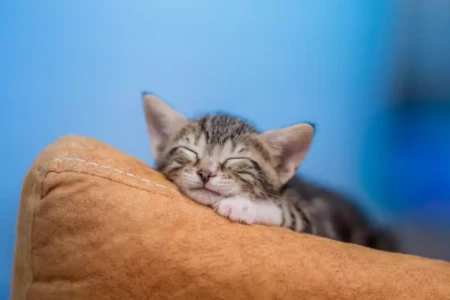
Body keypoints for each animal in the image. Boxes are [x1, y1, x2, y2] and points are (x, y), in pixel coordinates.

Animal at [143, 93, 398, 251]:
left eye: (235, 159)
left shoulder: (322, 225)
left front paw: (241, 205)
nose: (206, 173)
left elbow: (286, 211)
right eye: (190, 151)